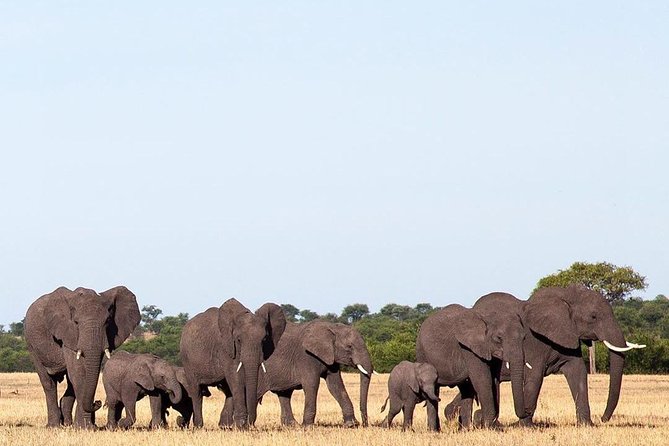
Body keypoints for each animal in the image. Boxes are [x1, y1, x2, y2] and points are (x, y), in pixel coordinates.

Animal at [24, 286, 140, 428]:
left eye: (107, 321)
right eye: (76, 322)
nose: (98, 402)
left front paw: (87, 426)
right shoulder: (68, 333)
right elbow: (79, 373)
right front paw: (85, 427)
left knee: (69, 382)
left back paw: (67, 423)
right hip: (31, 345)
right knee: (48, 382)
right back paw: (54, 426)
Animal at [180, 300, 288, 428]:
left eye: (265, 339)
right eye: (239, 340)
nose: (250, 424)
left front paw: (239, 426)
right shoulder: (225, 346)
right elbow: (235, 377)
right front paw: (241, 426)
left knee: (227, 391)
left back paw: (225, 426)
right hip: (187, 359)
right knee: (196, 391)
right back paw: (198, 426)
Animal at [412, 294, 528, 430]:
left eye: (524, 338)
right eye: (499, 338)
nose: (527, 412)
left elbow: (494, 380)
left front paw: (492, 427)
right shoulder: (469, 348)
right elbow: (483, 381)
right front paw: (490, 427)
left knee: (466, 389)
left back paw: (465, 429)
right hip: (422, 352)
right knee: (434, 389)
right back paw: (434, 431)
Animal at [440, 288, 640, 426]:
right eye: (593, 316)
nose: (603, 419)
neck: (565, 295)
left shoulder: (568, 335)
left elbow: (578, 373)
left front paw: (587, 425)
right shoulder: (535, 343)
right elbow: (534, 377)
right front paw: (525, 426)